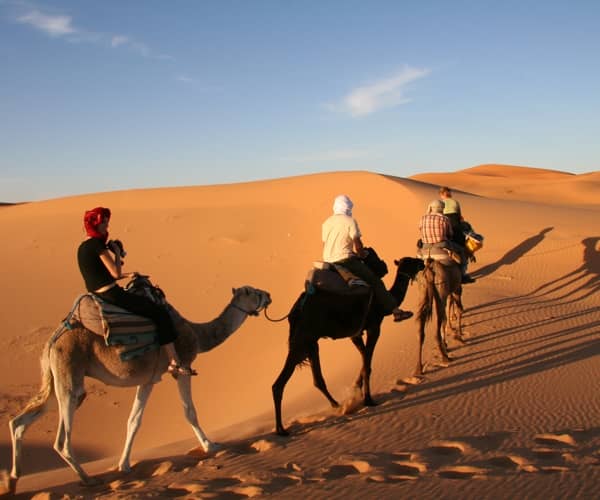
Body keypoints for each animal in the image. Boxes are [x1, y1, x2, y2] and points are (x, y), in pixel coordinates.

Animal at [8, 282, 270, 492]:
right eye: (253, 292)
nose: (268, 295)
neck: (197, 333)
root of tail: (52, 341)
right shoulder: (182, 367)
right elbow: (189, 412)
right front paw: (210, 445)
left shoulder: (148, 379)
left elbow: (133, 420)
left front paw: (124, 464)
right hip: (69, 374)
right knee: (61, 440)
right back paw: (88, 479)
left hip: (56, 380)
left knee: (19, 421)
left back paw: (12, 479)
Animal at [272, 256, 422, 436]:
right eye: (412, 261)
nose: (422, 262)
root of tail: (296, 309)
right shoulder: (374, 326)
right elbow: (367, 364)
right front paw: (368, 400)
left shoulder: (355, 333)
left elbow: (365, 360)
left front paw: (356, 390)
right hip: (302, 339)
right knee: (278, 384)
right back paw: (281, 430)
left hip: (310, 342)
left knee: (317, 379)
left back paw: (337, 405)